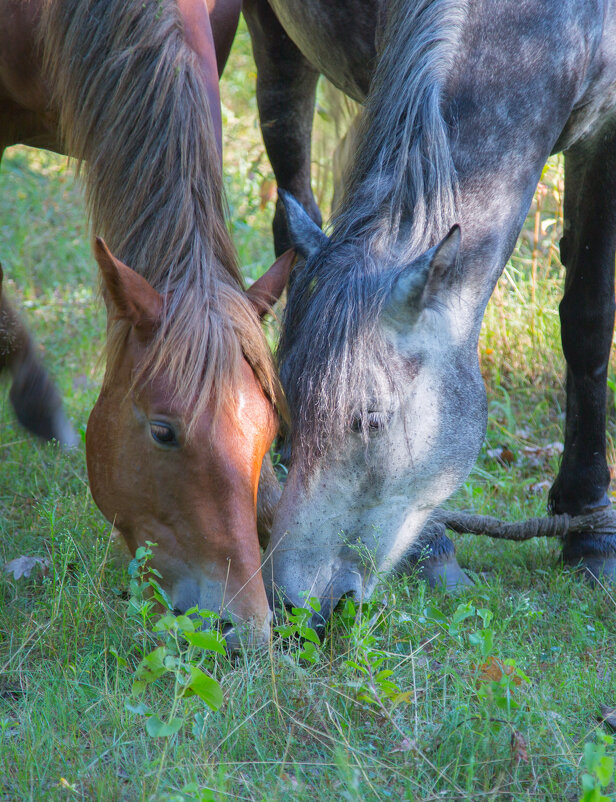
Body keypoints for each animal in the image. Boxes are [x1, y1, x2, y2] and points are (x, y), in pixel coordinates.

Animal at [247, 0, 616, 616]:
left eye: (370, 419)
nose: (292, 604)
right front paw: (434, 547)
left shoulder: (607, 130)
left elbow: (589, 322)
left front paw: (590, 528)